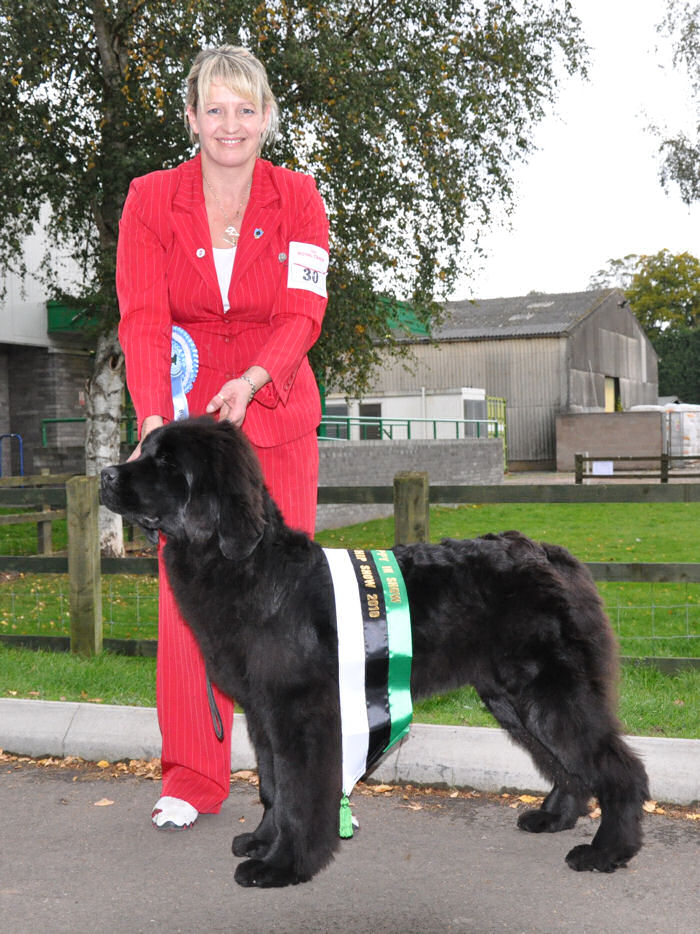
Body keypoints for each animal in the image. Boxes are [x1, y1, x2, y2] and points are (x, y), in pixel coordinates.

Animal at [101, 420, 648, 888]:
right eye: (145, 452)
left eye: (168, 463)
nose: (106, 474)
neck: (252, 569)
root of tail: (547, 553)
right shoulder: (262, 713)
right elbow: (272, 785)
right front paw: (260, 842)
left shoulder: (299, 712)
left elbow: (298, 793)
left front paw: (283, 864)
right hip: (512, 698)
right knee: (567, 765)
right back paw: (554, 817)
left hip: (548, 691)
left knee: (618, 768)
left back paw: (607, 851)